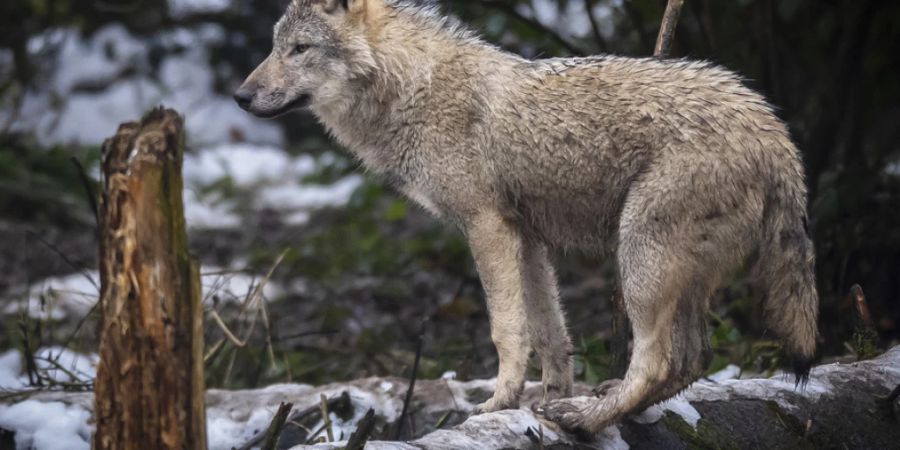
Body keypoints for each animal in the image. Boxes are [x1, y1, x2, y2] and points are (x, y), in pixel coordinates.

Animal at [236, 0, 820, 436]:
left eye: (300, 49)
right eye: (274, 47)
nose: (241, 96)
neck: (412, 89)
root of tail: (773, 131)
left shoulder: (487, 227)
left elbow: (506, 330)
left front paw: (499, 402)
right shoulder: (528, 238)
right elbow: (550, 334)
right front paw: (543, 399)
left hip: (638, 259)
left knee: (657, 360)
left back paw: (587, 417)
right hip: (678, 275)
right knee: (694, 359)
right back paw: (598, 407)